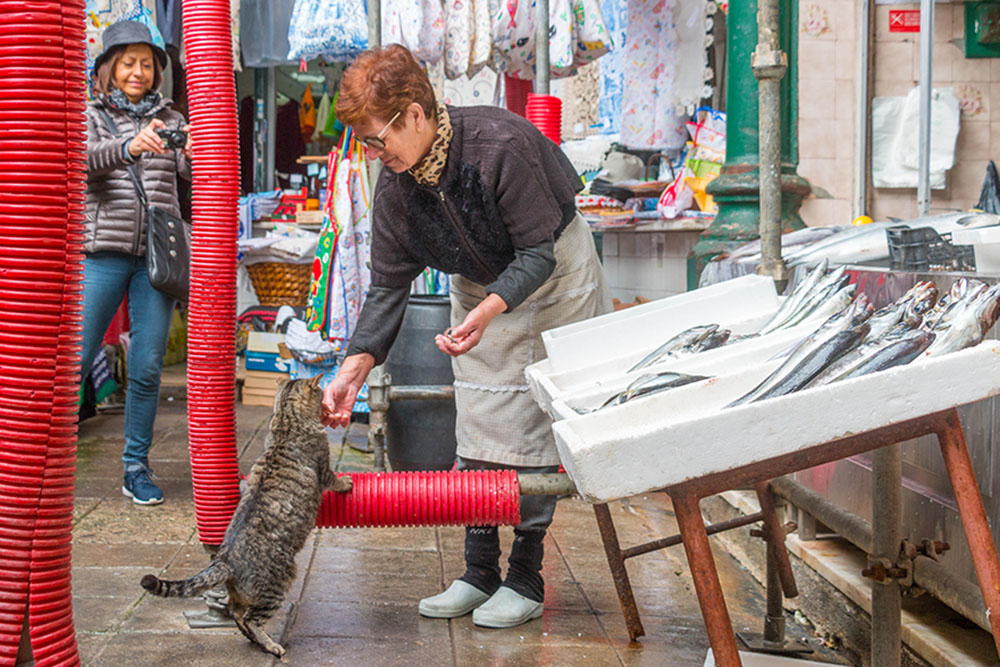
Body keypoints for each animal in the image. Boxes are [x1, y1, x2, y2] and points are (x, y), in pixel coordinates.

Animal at [141, 376, 352, 656]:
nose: (327, 401)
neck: (285, 421)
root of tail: (226, 561)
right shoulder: (323, 467)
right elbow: (334, 479)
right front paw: (347, 482)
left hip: (245, 592)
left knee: (236, 611)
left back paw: (253, 638)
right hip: (278, 583)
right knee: (250, 618)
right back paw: (271, 645)